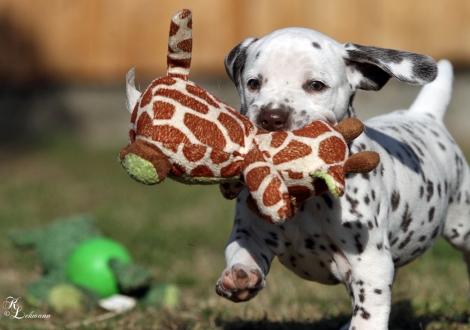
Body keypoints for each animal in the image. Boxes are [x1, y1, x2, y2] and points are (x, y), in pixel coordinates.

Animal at [214, 26, 470, 330]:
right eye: (253, 83)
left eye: (316, 85)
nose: (271, 116)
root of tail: (424, 115)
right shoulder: (251, 234)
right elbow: (241, 251)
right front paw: (240, 276)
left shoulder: (371, 263)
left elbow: (369, 313)